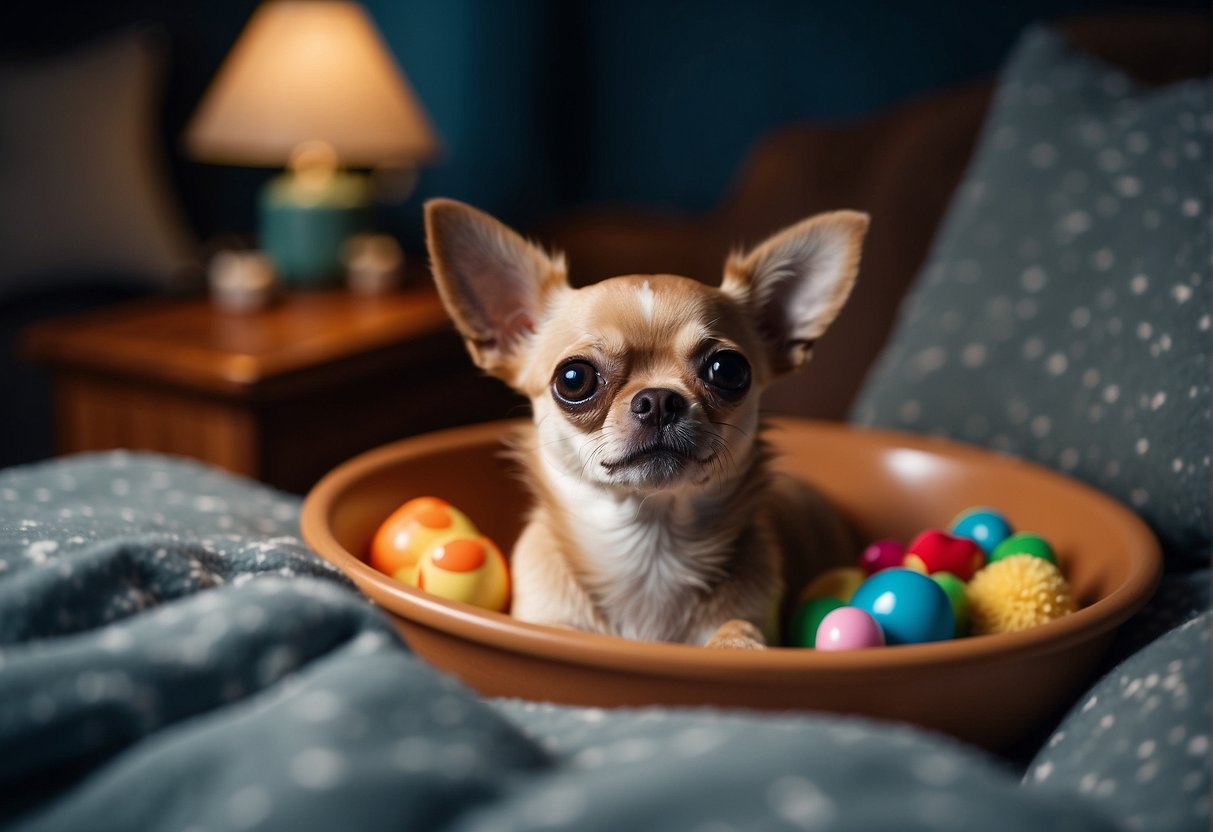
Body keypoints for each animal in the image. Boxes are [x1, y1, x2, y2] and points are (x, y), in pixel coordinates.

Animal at [422, 198, 868, 650]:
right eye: (573, 378)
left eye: (728, 370)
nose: (658, 400)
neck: (650, 546)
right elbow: (556, 630)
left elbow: (737, 627)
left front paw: (736, 644)